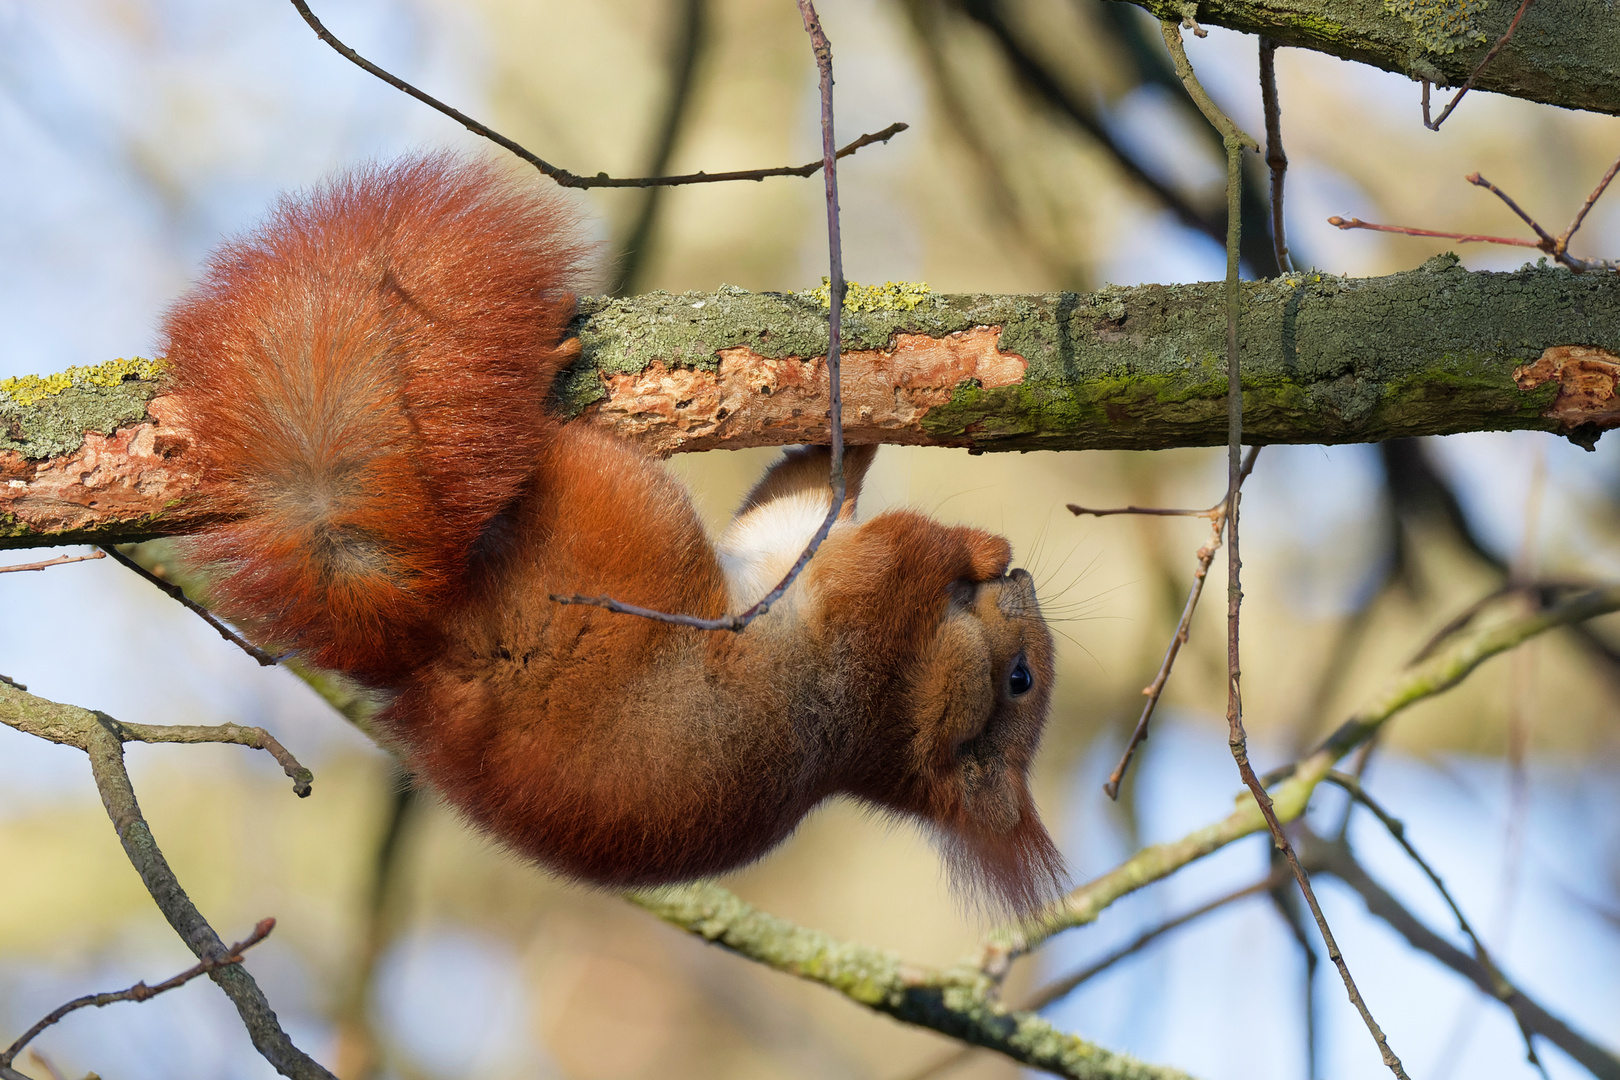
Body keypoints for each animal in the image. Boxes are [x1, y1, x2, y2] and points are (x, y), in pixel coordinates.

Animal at [164, 152, 1062, 913]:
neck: (894, 707)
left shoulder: (859, 633)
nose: (1023, 581)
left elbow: (904, 547)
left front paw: (972, 544)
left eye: (1018, 681)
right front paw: (858, 436)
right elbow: (804, 496)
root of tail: (436, 636)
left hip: (616, 511)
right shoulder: (795, 544)